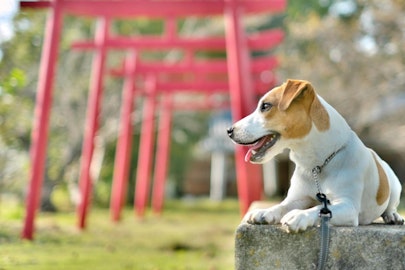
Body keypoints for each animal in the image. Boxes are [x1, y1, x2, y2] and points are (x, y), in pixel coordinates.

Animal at [226, 78, 402, 232]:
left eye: (265, 106)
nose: (229, 130)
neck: (317, 164)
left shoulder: (348, 206)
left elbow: (320, 208)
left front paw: (299, 216)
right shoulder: (298, 198)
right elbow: (282, 206)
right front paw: (266, 212)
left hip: (394, 186)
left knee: (390, 206)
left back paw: (393, 216)